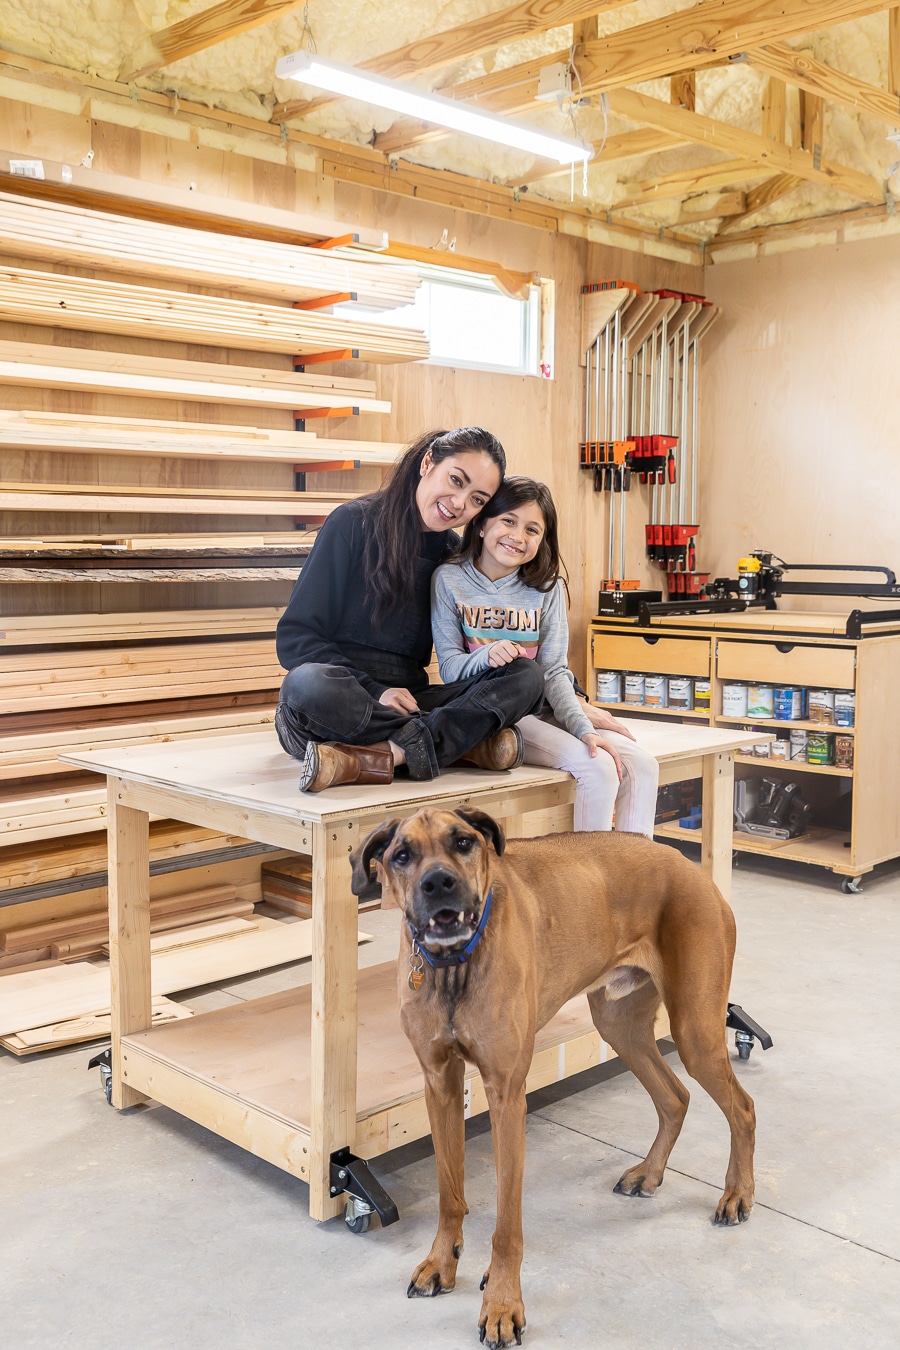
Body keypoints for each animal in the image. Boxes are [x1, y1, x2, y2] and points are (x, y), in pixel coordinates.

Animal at [350, 804, 761, 1344]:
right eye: (402, 855)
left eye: (463, 842)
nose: (438, 883)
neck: (454, 963)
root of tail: (690, 868)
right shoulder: (439, 1084)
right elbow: (448, 1193)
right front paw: (442, 1263)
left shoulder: (506, 1094)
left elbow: (507, 1224)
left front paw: (502, 1304)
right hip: (619, 1024)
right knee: (675, 1097)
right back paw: (649, 1174)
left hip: (695, 1032)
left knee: (743, 1108)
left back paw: (737, 1195)